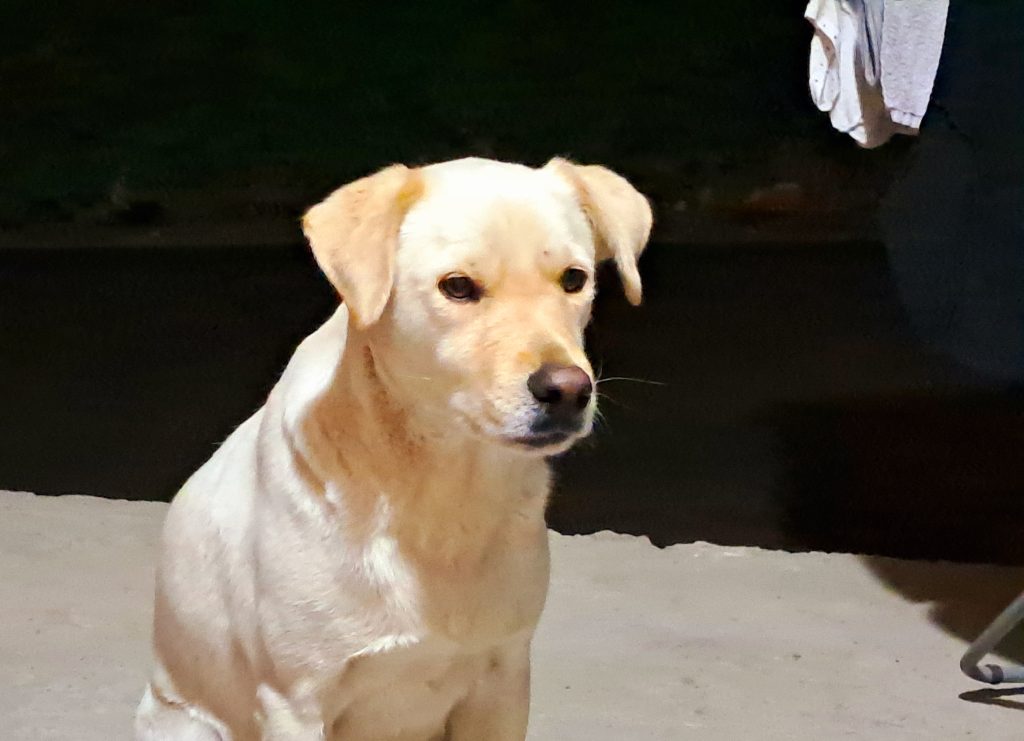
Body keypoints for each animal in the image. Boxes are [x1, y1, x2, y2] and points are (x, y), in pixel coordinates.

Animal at [135, 157, 651, 740]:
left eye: (574, 279)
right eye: (457, 287)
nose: (568, 391)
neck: (438, 492)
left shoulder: (502, 681)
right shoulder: (295, 703)